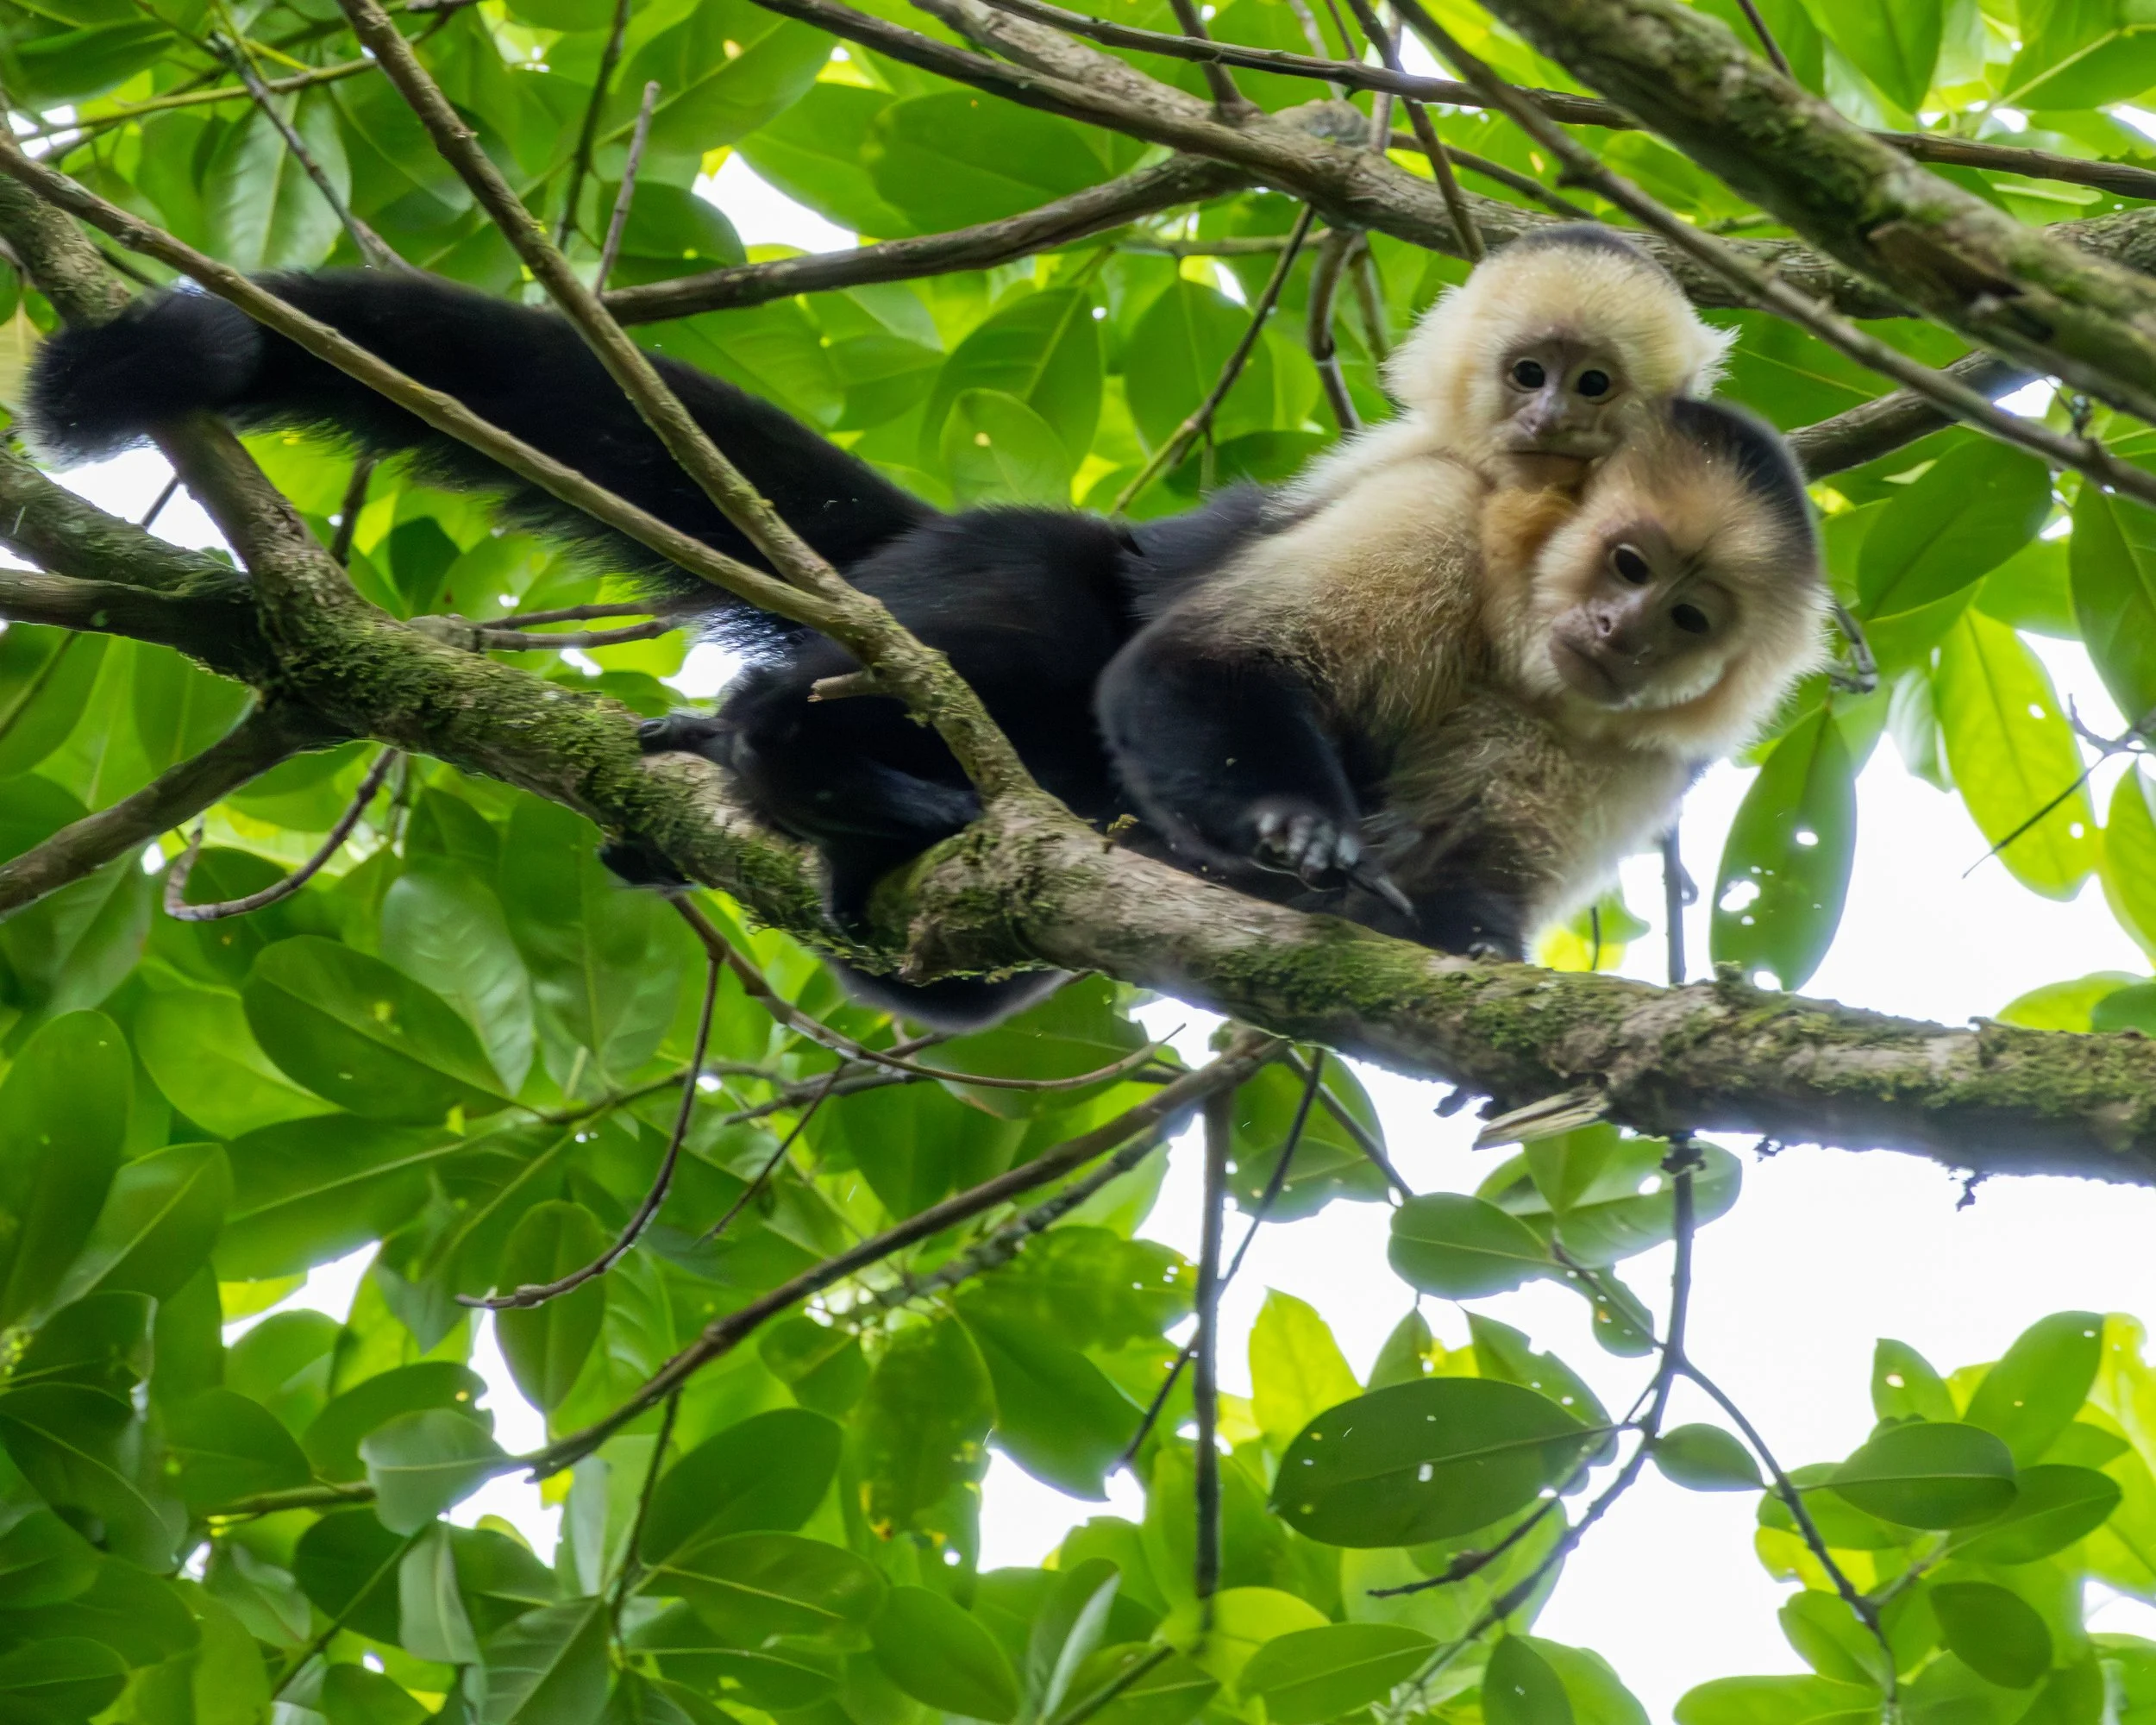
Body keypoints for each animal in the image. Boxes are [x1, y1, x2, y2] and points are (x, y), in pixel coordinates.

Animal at [23, 225, 1756, 1026]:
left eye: (1592, 383)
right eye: (1530, 373)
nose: (1549, 420)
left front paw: (1462, 930)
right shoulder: (1430, 496)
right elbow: (1209, 651)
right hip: (976, 577)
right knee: (1050, 625)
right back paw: (793, 757)